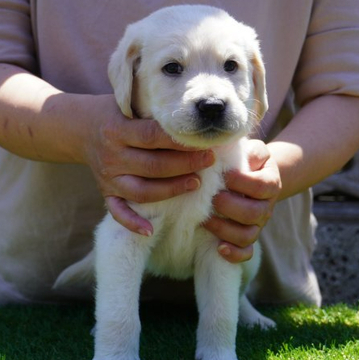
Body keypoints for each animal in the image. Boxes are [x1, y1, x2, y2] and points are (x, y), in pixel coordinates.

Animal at [93, 5, 276, 360]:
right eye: (172, 68)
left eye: (231, 66)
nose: (213, 106)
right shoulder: (123, 237)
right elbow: (119, 314)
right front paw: (115, 353)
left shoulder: (222, 241)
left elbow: (221, 311)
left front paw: (219, 354)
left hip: (250, 255)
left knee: (241, 295)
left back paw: (255, 318)